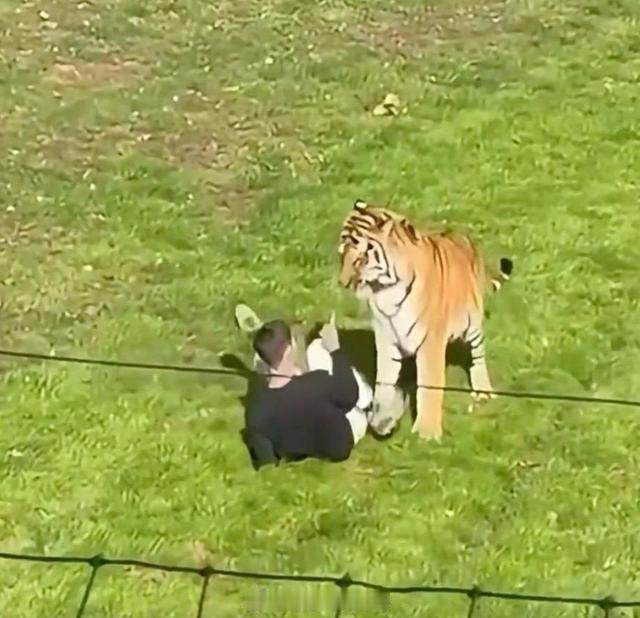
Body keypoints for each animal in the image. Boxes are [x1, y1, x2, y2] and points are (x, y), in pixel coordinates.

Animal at [337, 199, 513, 441]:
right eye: (341, 254)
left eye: (361, 258)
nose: (342, 282)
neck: (385, 291)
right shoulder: (385, 340)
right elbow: (384, 383)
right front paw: (382, 422)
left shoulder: (430, 341)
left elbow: (429, 386)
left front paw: (427, 433)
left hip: (473, 325)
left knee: (478, 356)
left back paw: (483, 391)